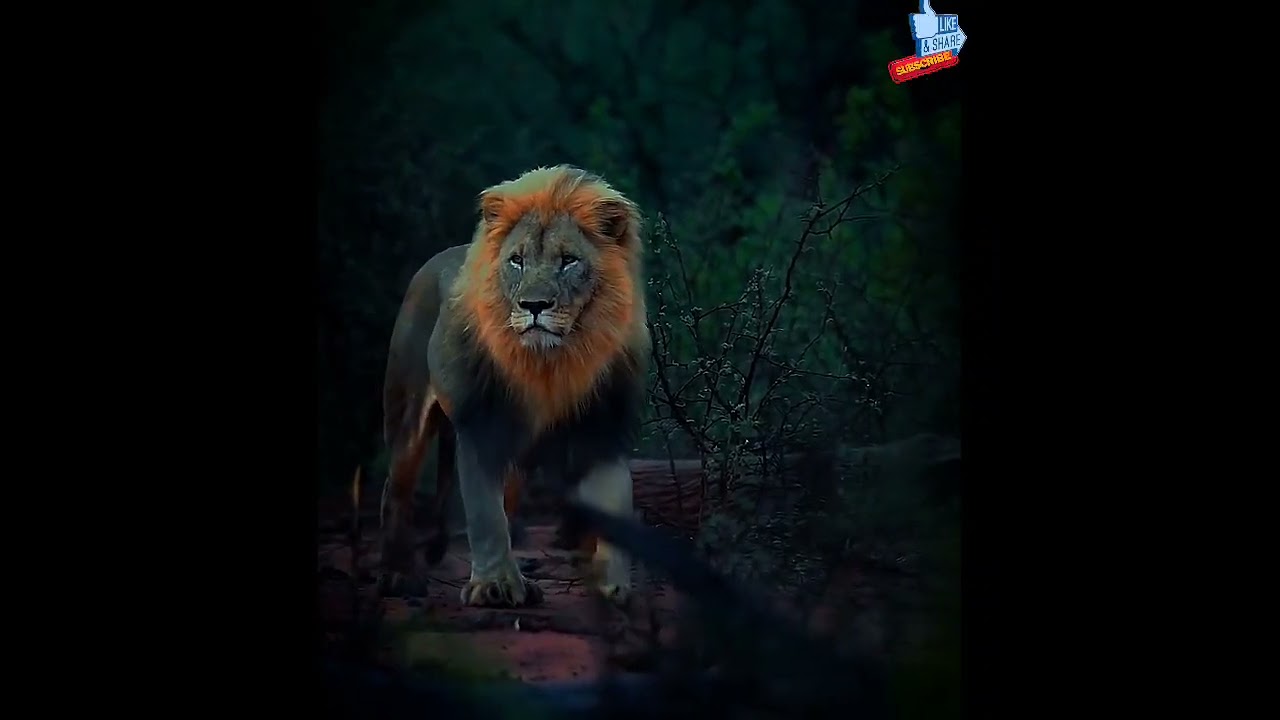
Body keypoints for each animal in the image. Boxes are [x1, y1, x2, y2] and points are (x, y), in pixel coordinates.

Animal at [378, 165, 649, 608]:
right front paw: (494, 586)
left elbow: (614, 501)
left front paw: (614, 588)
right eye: (517, 261)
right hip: (408, 415)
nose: (533, 306)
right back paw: (398, 576)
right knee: (395, 489)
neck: (552, 363)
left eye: (568, 261)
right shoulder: (480, 426)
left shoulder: (601, 427)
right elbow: (486, 516)